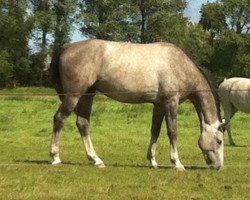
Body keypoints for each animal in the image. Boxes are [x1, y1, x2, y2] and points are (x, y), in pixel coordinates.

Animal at [49, 39, 226, 170]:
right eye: (219, 141)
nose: (218, 166)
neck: (179, 65)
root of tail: (65, 48)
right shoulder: (171, 103)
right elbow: (173, 132)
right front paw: (177, 163)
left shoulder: (159, 105)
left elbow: (155, 130)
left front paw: (153, 161)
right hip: (73, 95)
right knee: (59, 118)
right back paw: (55, 157)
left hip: (87, 95)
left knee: (83, 124)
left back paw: (96, 160)